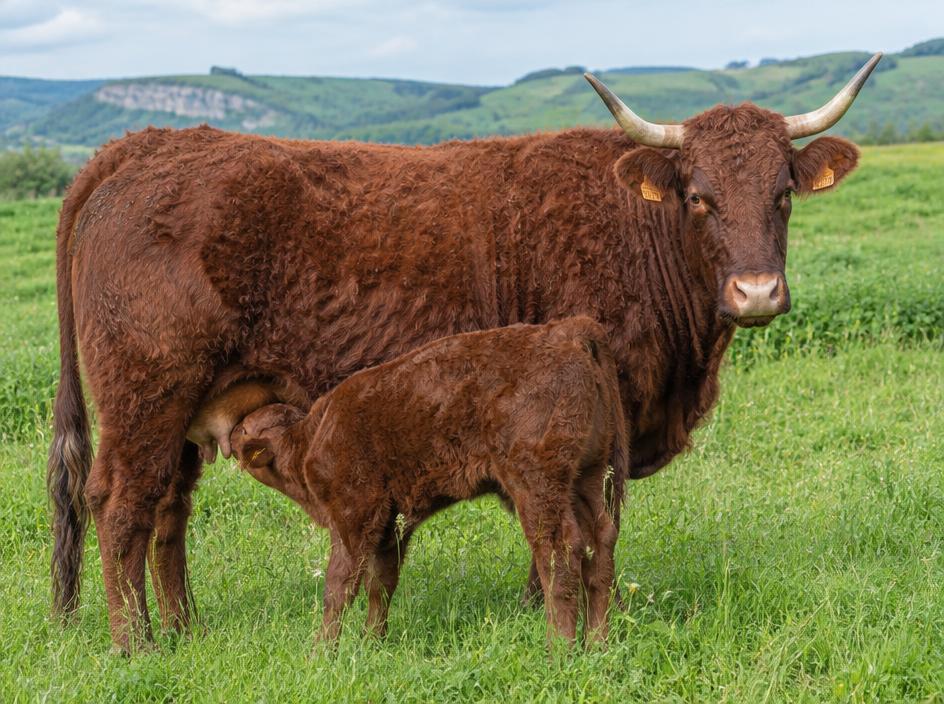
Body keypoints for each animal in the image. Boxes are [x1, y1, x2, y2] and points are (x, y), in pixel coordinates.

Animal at [226, 317, 627, 644]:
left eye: (244, 429)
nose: (229, 435)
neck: (309, 438)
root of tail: (566, 332)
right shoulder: (392, 526)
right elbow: (381, 583)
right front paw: (372, 643)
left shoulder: (354, 515)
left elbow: (340, 585)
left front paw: (322, 652)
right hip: (587, 478)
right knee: (599, 545)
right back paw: (597, 645)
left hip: (537, 484)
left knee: (559, 552)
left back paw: (559, 650)